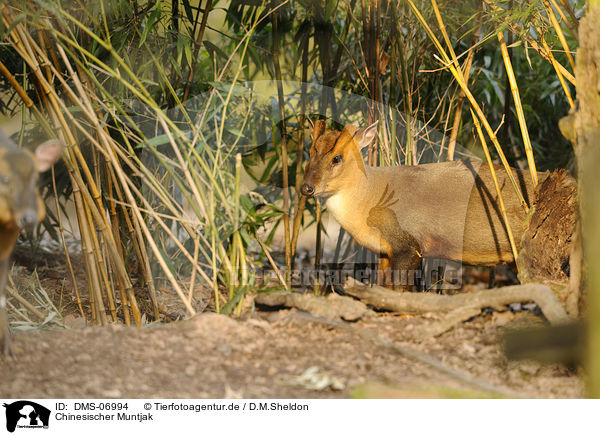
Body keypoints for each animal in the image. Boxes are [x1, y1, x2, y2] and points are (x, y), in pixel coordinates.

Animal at [302, 121, 536, 292]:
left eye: (336, 158)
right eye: (310, 152)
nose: (306, 188)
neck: (371, 199)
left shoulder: (410, 244)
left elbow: (399, 289)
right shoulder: (386, 250)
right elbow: (382, 286)